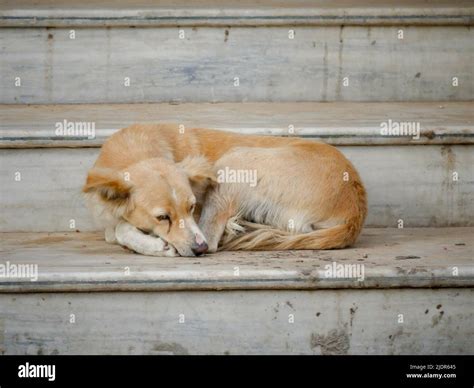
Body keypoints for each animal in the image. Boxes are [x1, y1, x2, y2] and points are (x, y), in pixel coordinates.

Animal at [83, 124, 368, 256]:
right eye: (162, 217)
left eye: (192, 207)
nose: (196, 249)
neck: (134, 148)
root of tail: (355, 209)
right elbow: (114, 228)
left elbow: (120, 228)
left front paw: (151, 244)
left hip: (233, 162)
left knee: (211, 238)